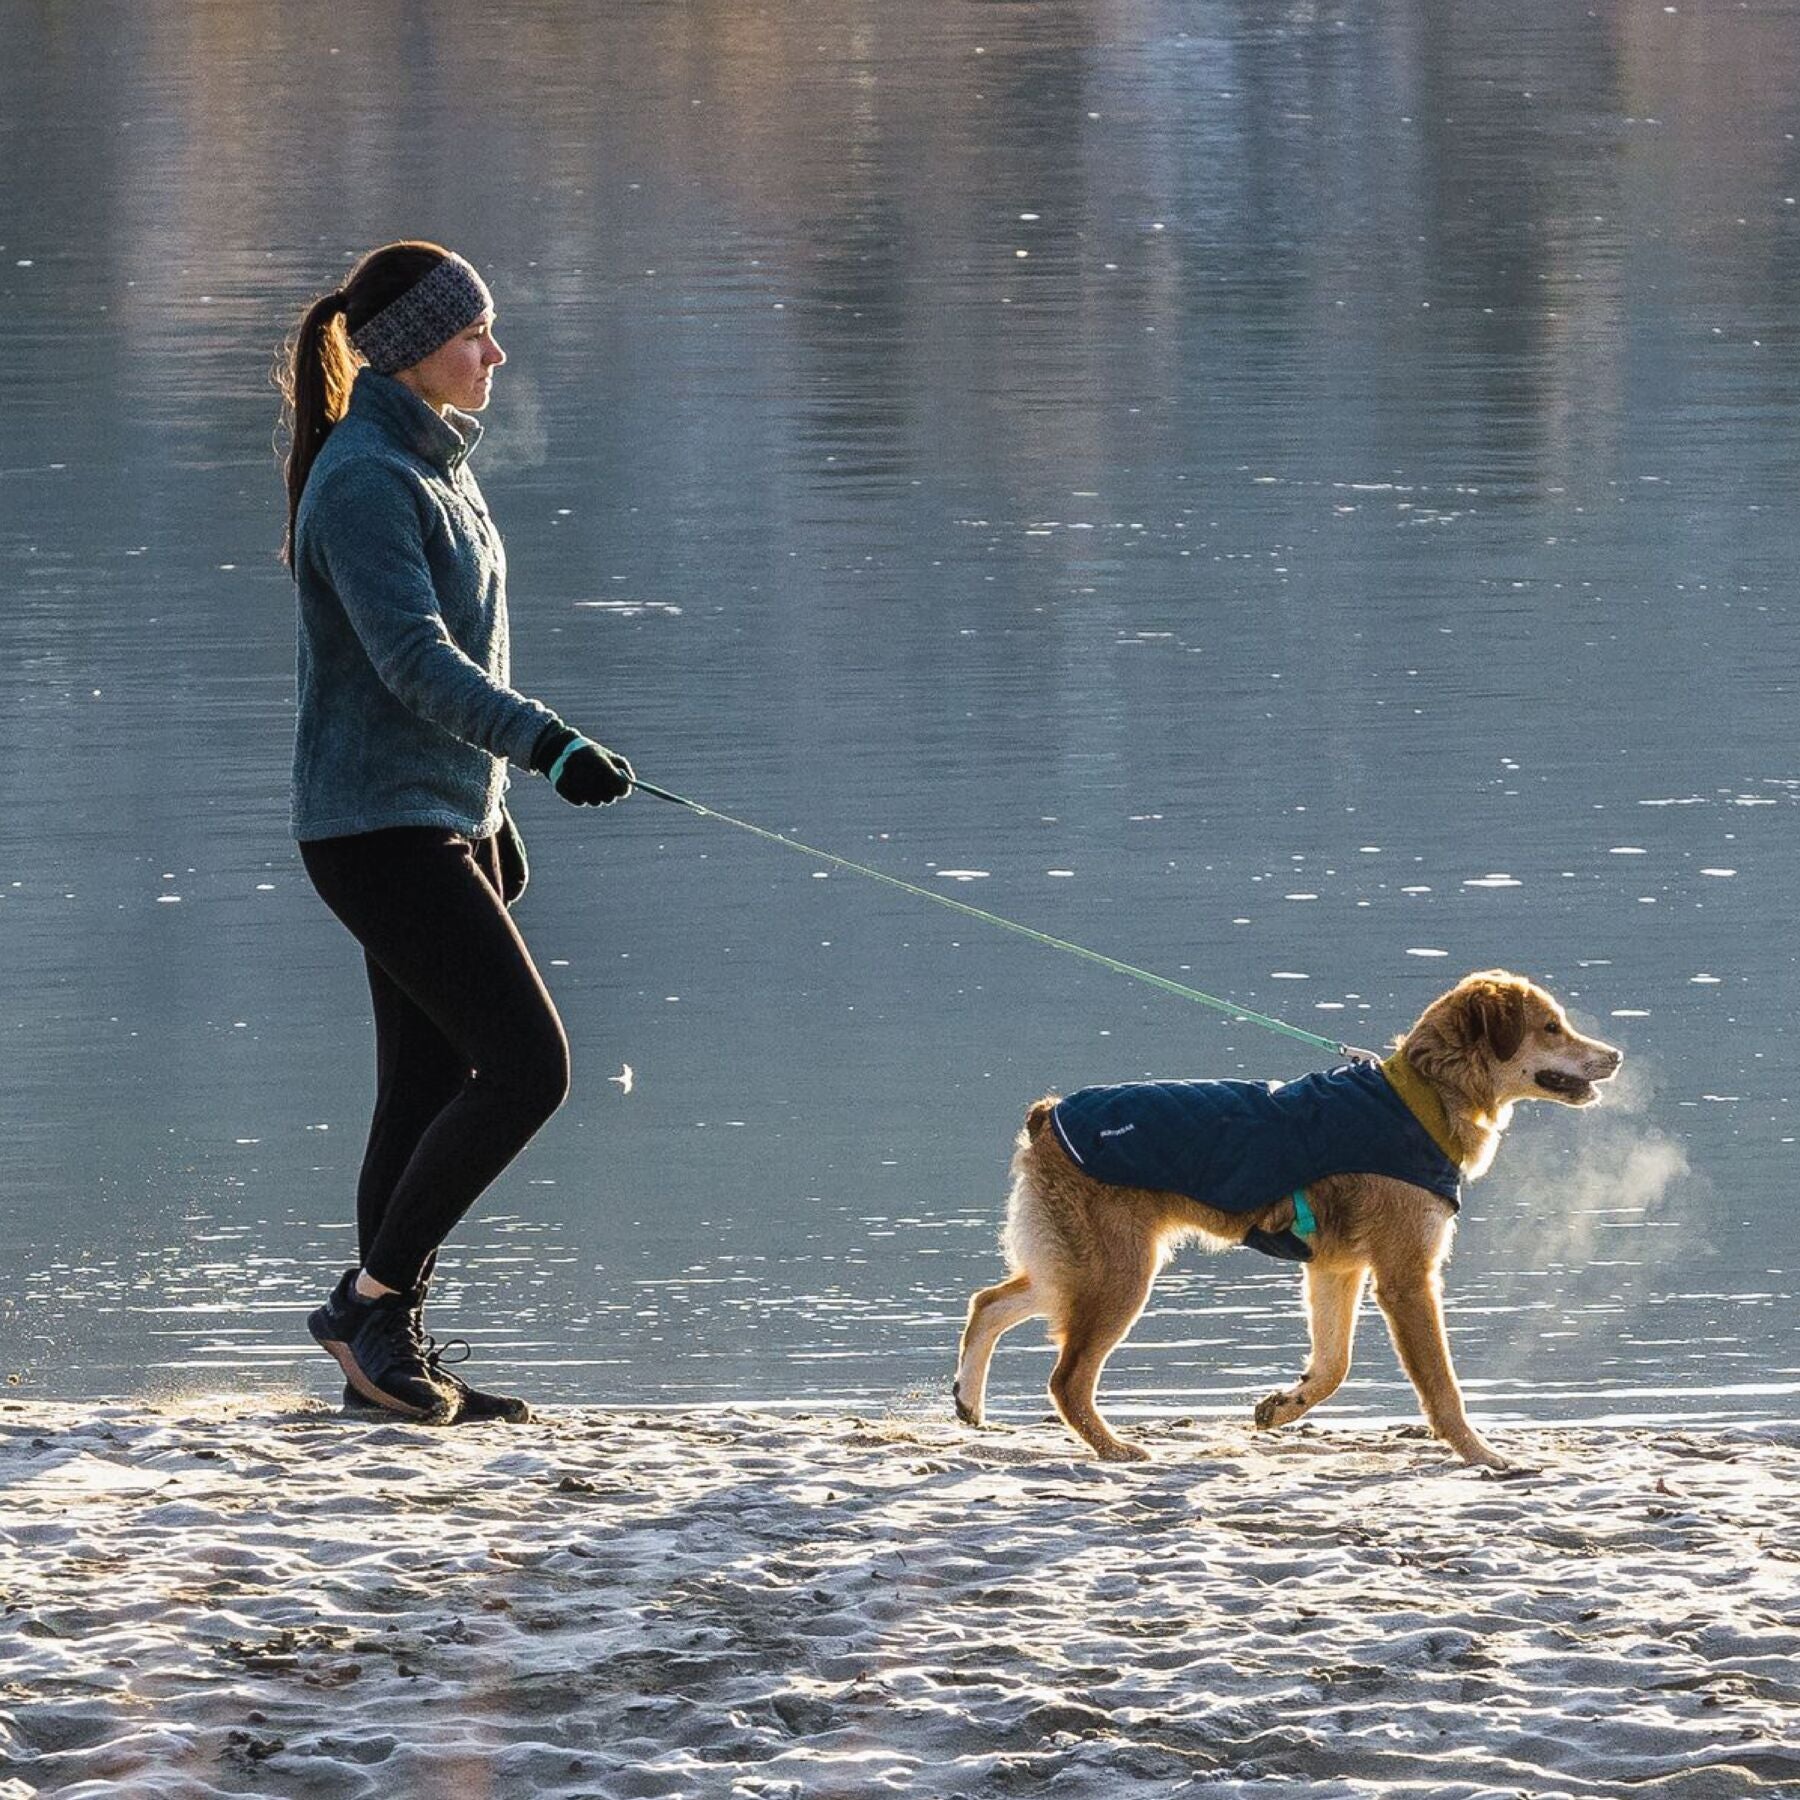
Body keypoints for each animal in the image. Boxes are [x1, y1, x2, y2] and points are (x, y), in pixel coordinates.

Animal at [950, 979, 1627, 1468]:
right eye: (1550, 1027)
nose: (1615, 1056)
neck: (1423, 1099)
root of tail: (1047, 1115)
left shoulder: (1336, 1270)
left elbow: (1332, 1366)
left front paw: (1283, 1406)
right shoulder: (1408, 1278)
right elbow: (1441, 1384)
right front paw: (1480, 1453)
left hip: (1076, 1266)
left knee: (990, 1302)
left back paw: (969, 1402)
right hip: (1118, 1274)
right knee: (1066, 1378)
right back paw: (1115, 1449)